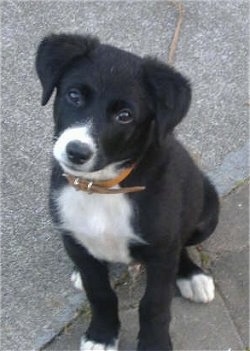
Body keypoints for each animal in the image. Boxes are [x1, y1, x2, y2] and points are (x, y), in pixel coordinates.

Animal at [35, 33, 219, 351]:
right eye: (74, 96)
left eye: (124, 116)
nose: (76, 152)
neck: (102, 187)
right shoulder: (73, 233)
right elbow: (100, 293)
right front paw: (101, 335)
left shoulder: (161, 250)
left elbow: (155, 304)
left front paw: (154, 344)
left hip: (207, 212)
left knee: (182, 245)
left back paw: (192, 276)